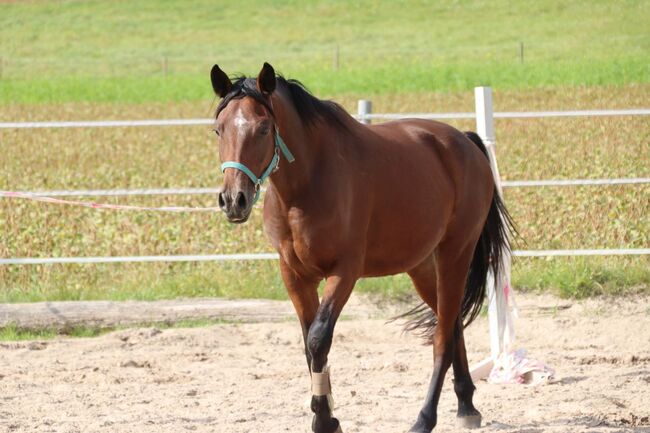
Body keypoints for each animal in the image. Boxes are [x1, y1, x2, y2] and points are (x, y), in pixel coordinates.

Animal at [210, 61, 508, 432]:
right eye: (219, 129)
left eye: (264, 128)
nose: (233, 200)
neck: (307, 185)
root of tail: (464, 142)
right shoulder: (294, 275)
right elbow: (308, 346)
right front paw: (325, 415)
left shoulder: (345, 271)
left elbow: (319, 338)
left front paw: (325, 419)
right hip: (423, 266)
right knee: (451, 324)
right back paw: (466, 405)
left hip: (456, 252)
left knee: (442, 336)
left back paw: (425, 418)